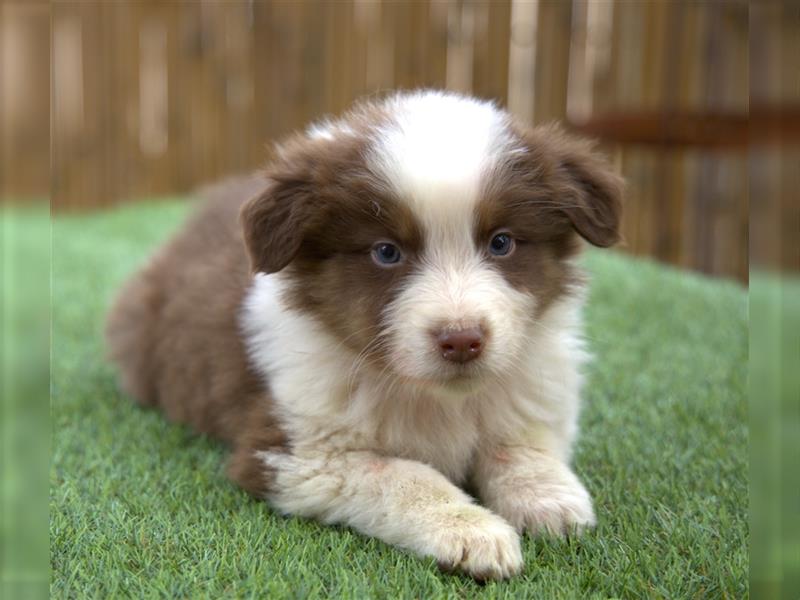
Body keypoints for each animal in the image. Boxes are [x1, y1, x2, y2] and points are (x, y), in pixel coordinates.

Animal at [106, 90, 620, 580]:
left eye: (502, 242)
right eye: (386, 252)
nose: (462, 340)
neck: (436, 398)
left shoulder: (532, 391)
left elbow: (518, 447)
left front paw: (549, 500)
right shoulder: (297, 453)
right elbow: (402, 476)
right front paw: (472, 532)